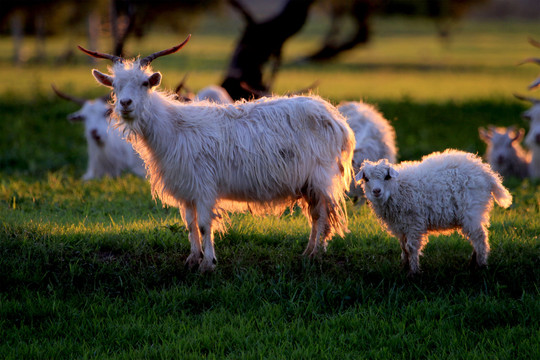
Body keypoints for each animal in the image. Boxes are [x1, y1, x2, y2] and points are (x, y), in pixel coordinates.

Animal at [77, 37, 354, 272]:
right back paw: (307, 252)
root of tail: (338, 122)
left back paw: (315, 254)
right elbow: (190, 225)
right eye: (115, 86)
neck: (173, 127)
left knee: (322, 214)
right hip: (308, 183)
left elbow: (204, 224)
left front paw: (208, 264)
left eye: (145, 84)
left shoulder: (204, 186)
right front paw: (192, 259)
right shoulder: (186, 188)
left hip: (321, 176)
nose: (125, 104)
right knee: (315, 214)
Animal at [356, 149, 512, 276]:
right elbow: (403, 247)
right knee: (476, 238)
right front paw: (403, 267)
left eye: (387, 177)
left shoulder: (414, 223)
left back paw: (480, 265)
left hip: (472, 210)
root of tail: (488, 174)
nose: (376, 191)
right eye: (366, 179)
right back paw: (473, 263)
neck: (398, 188)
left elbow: (411, 247)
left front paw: (413, 272)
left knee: (480, 238)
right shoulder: (401, 225)